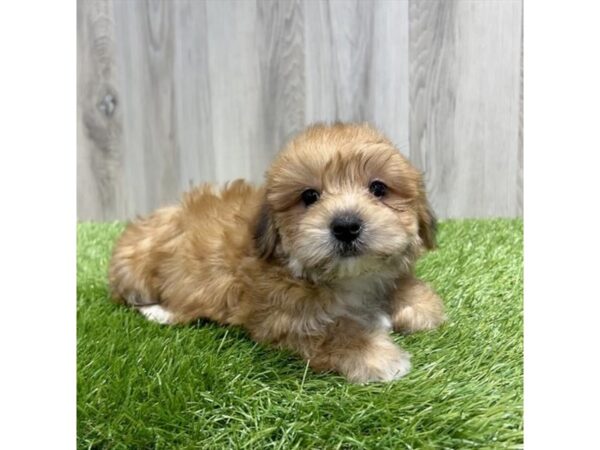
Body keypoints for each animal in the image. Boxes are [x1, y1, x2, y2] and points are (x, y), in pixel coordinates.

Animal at [108, 123, 446, 384]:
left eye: (378, 189)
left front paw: (415, 303)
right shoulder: (278, 318)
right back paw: (161, 311)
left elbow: (414, 299)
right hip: (138, 271)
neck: (345, 279)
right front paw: (374, 353)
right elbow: (331, 330)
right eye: (309, 196)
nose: (346, 225)